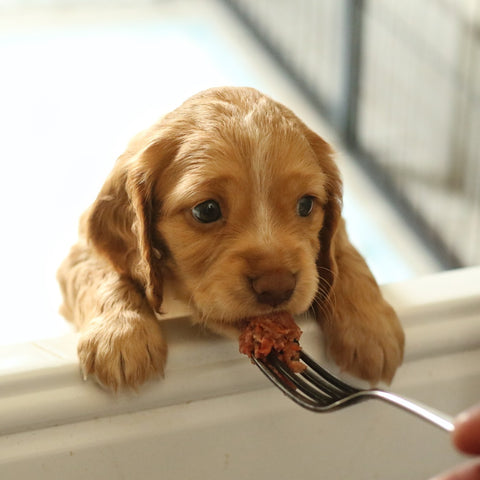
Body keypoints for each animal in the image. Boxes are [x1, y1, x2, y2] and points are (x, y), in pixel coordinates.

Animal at [59, 87, 404, 394]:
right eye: (206, 210)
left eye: (306, 204)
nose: (277, 287)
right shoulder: (82, 249)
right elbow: (100, 272)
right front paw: (121, 336)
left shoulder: (338, 236)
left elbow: (344, 253)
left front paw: (371, 328)